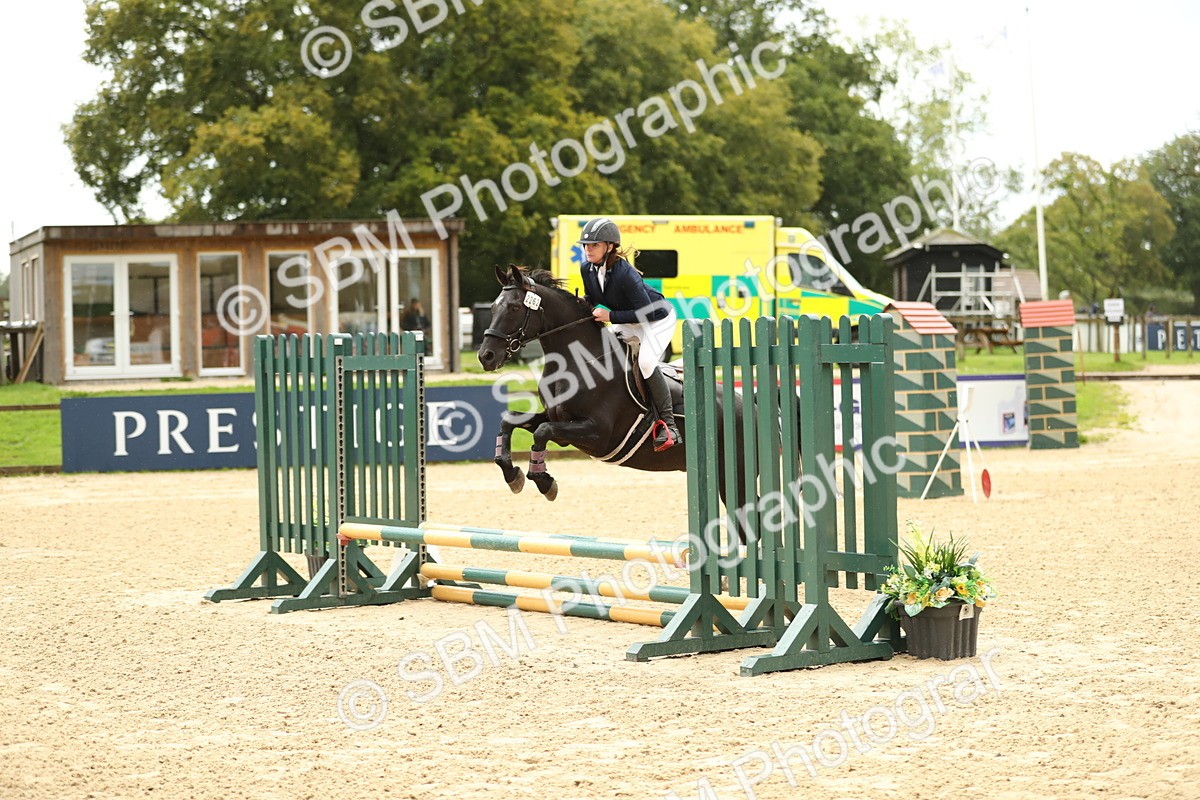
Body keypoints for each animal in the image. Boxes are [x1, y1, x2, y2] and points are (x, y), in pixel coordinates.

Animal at [476, 264, 747, 515]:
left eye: (514, 308)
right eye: (493, 308)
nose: (486, 356)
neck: (578, 361)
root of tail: (748, 405)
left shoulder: (598, 434)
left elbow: (543, 432)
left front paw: (544, 482)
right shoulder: (555, 418)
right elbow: (510, 421)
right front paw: (513, 474)